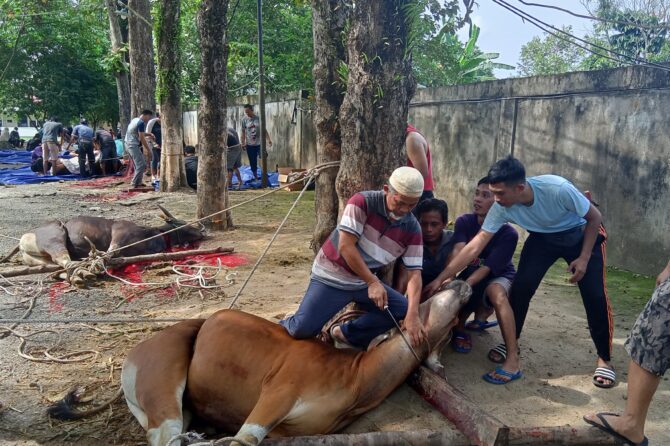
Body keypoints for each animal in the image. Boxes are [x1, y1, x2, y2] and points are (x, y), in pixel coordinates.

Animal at [117, 282, 472, 446]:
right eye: (426, 300)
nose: (459, 283)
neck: (355, 378)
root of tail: (134, 353)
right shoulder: (279, 394)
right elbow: (245, 439)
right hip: (162, 386)